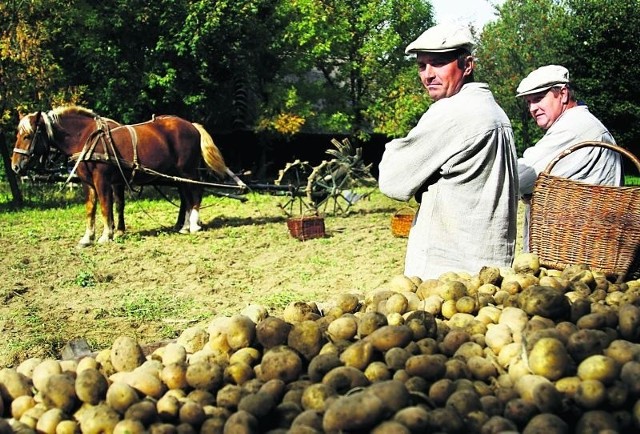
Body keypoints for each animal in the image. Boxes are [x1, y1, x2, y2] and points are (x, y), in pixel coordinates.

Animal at [11, 106, 245, 246]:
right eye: (17, 134)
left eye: (27, 136)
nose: (15, 166)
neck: (87, 138)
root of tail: (192, 125)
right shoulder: (90, 183)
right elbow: (92, 209)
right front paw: (88, 237)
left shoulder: (102, 180)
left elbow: (106, 206)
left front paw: (106, 235)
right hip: (176, 174)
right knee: (185, 196)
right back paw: (184, 226)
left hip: (187, 170)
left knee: (195, 192)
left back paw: (194, 225)